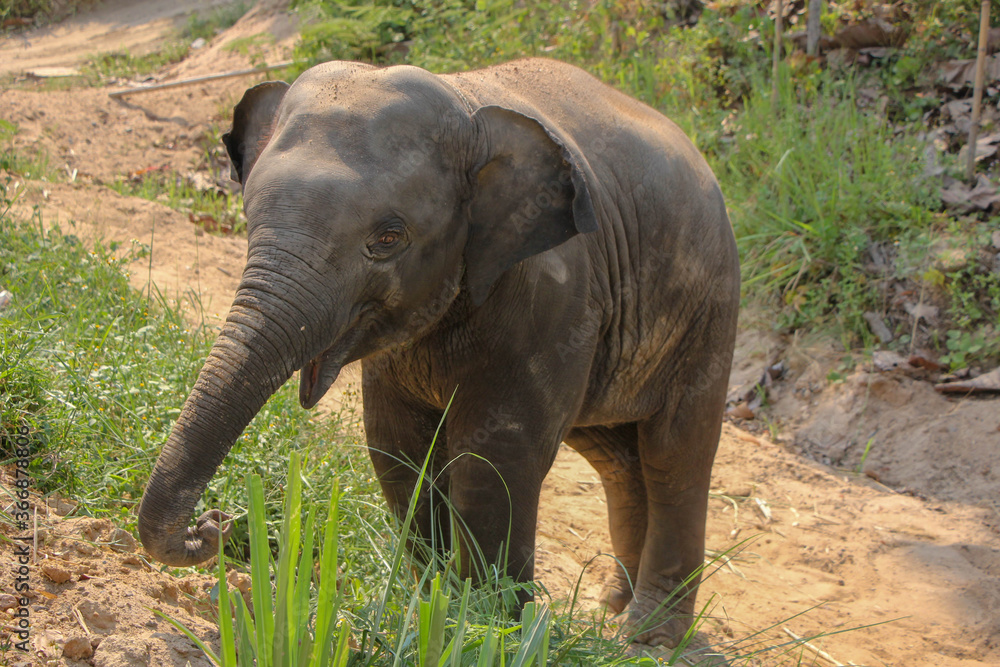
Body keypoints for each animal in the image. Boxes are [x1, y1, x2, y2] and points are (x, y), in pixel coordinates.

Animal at [137, 57, 739, 647]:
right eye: (249, 216)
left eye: (388, 239)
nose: (215, 522)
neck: (466, 106)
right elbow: (397, 450)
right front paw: (432, 607)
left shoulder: (554, 297)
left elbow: (493, 458)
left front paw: (488, 630)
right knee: (616, 457)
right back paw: (612, 606)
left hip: (709, 314)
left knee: (674, 456)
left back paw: (649, 635)